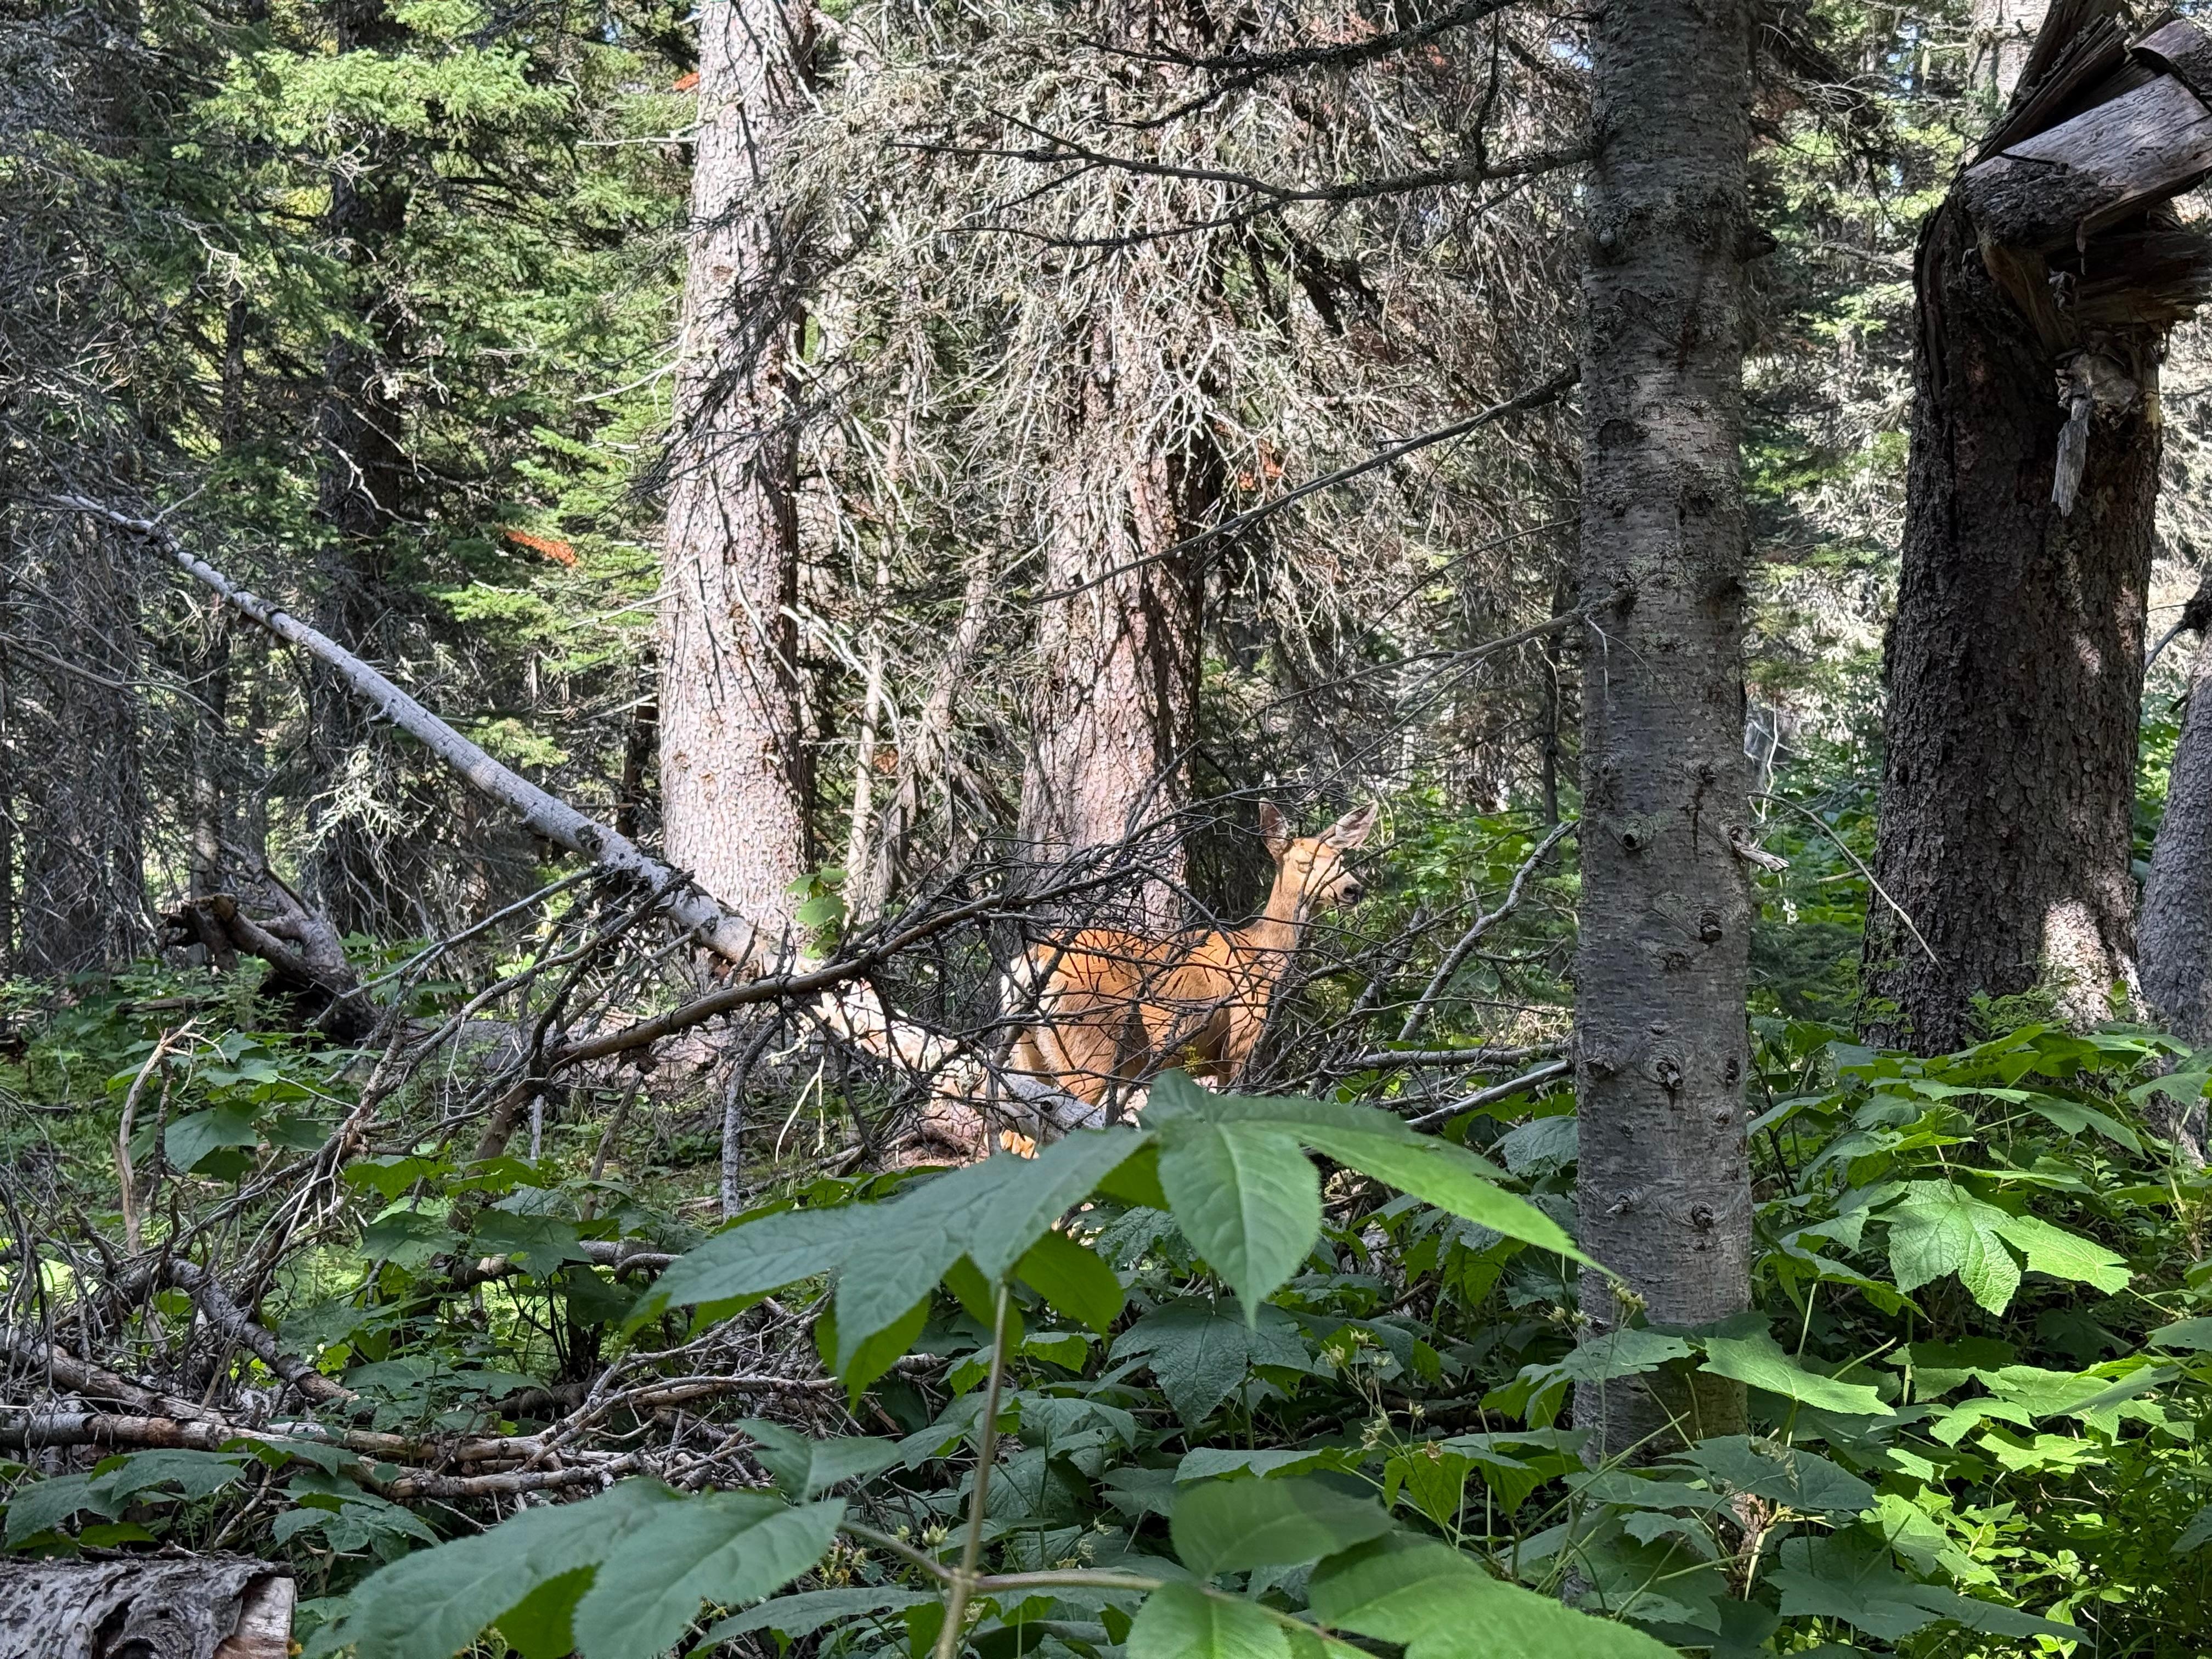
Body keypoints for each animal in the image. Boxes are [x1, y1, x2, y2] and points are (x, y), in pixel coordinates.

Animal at [1006, 800, 1379, 1110]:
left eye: (1341, 860)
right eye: (1304, 863)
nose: (1354, 889)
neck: (1264, 956)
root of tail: (1034, 960)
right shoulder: (1241, 1039)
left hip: (1028, 1052)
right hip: (1088, 1042)